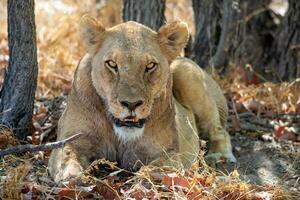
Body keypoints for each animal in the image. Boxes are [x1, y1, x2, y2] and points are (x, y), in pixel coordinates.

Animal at [48, 16, 237, 183]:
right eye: (112, 64)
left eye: (150, 66)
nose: (131, 104)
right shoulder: (73, 139)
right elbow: (67, 155)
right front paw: (71, 177)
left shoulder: (169, 152)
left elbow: (154, 169)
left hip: (185, 73)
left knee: (220, 131)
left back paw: (219, 156)